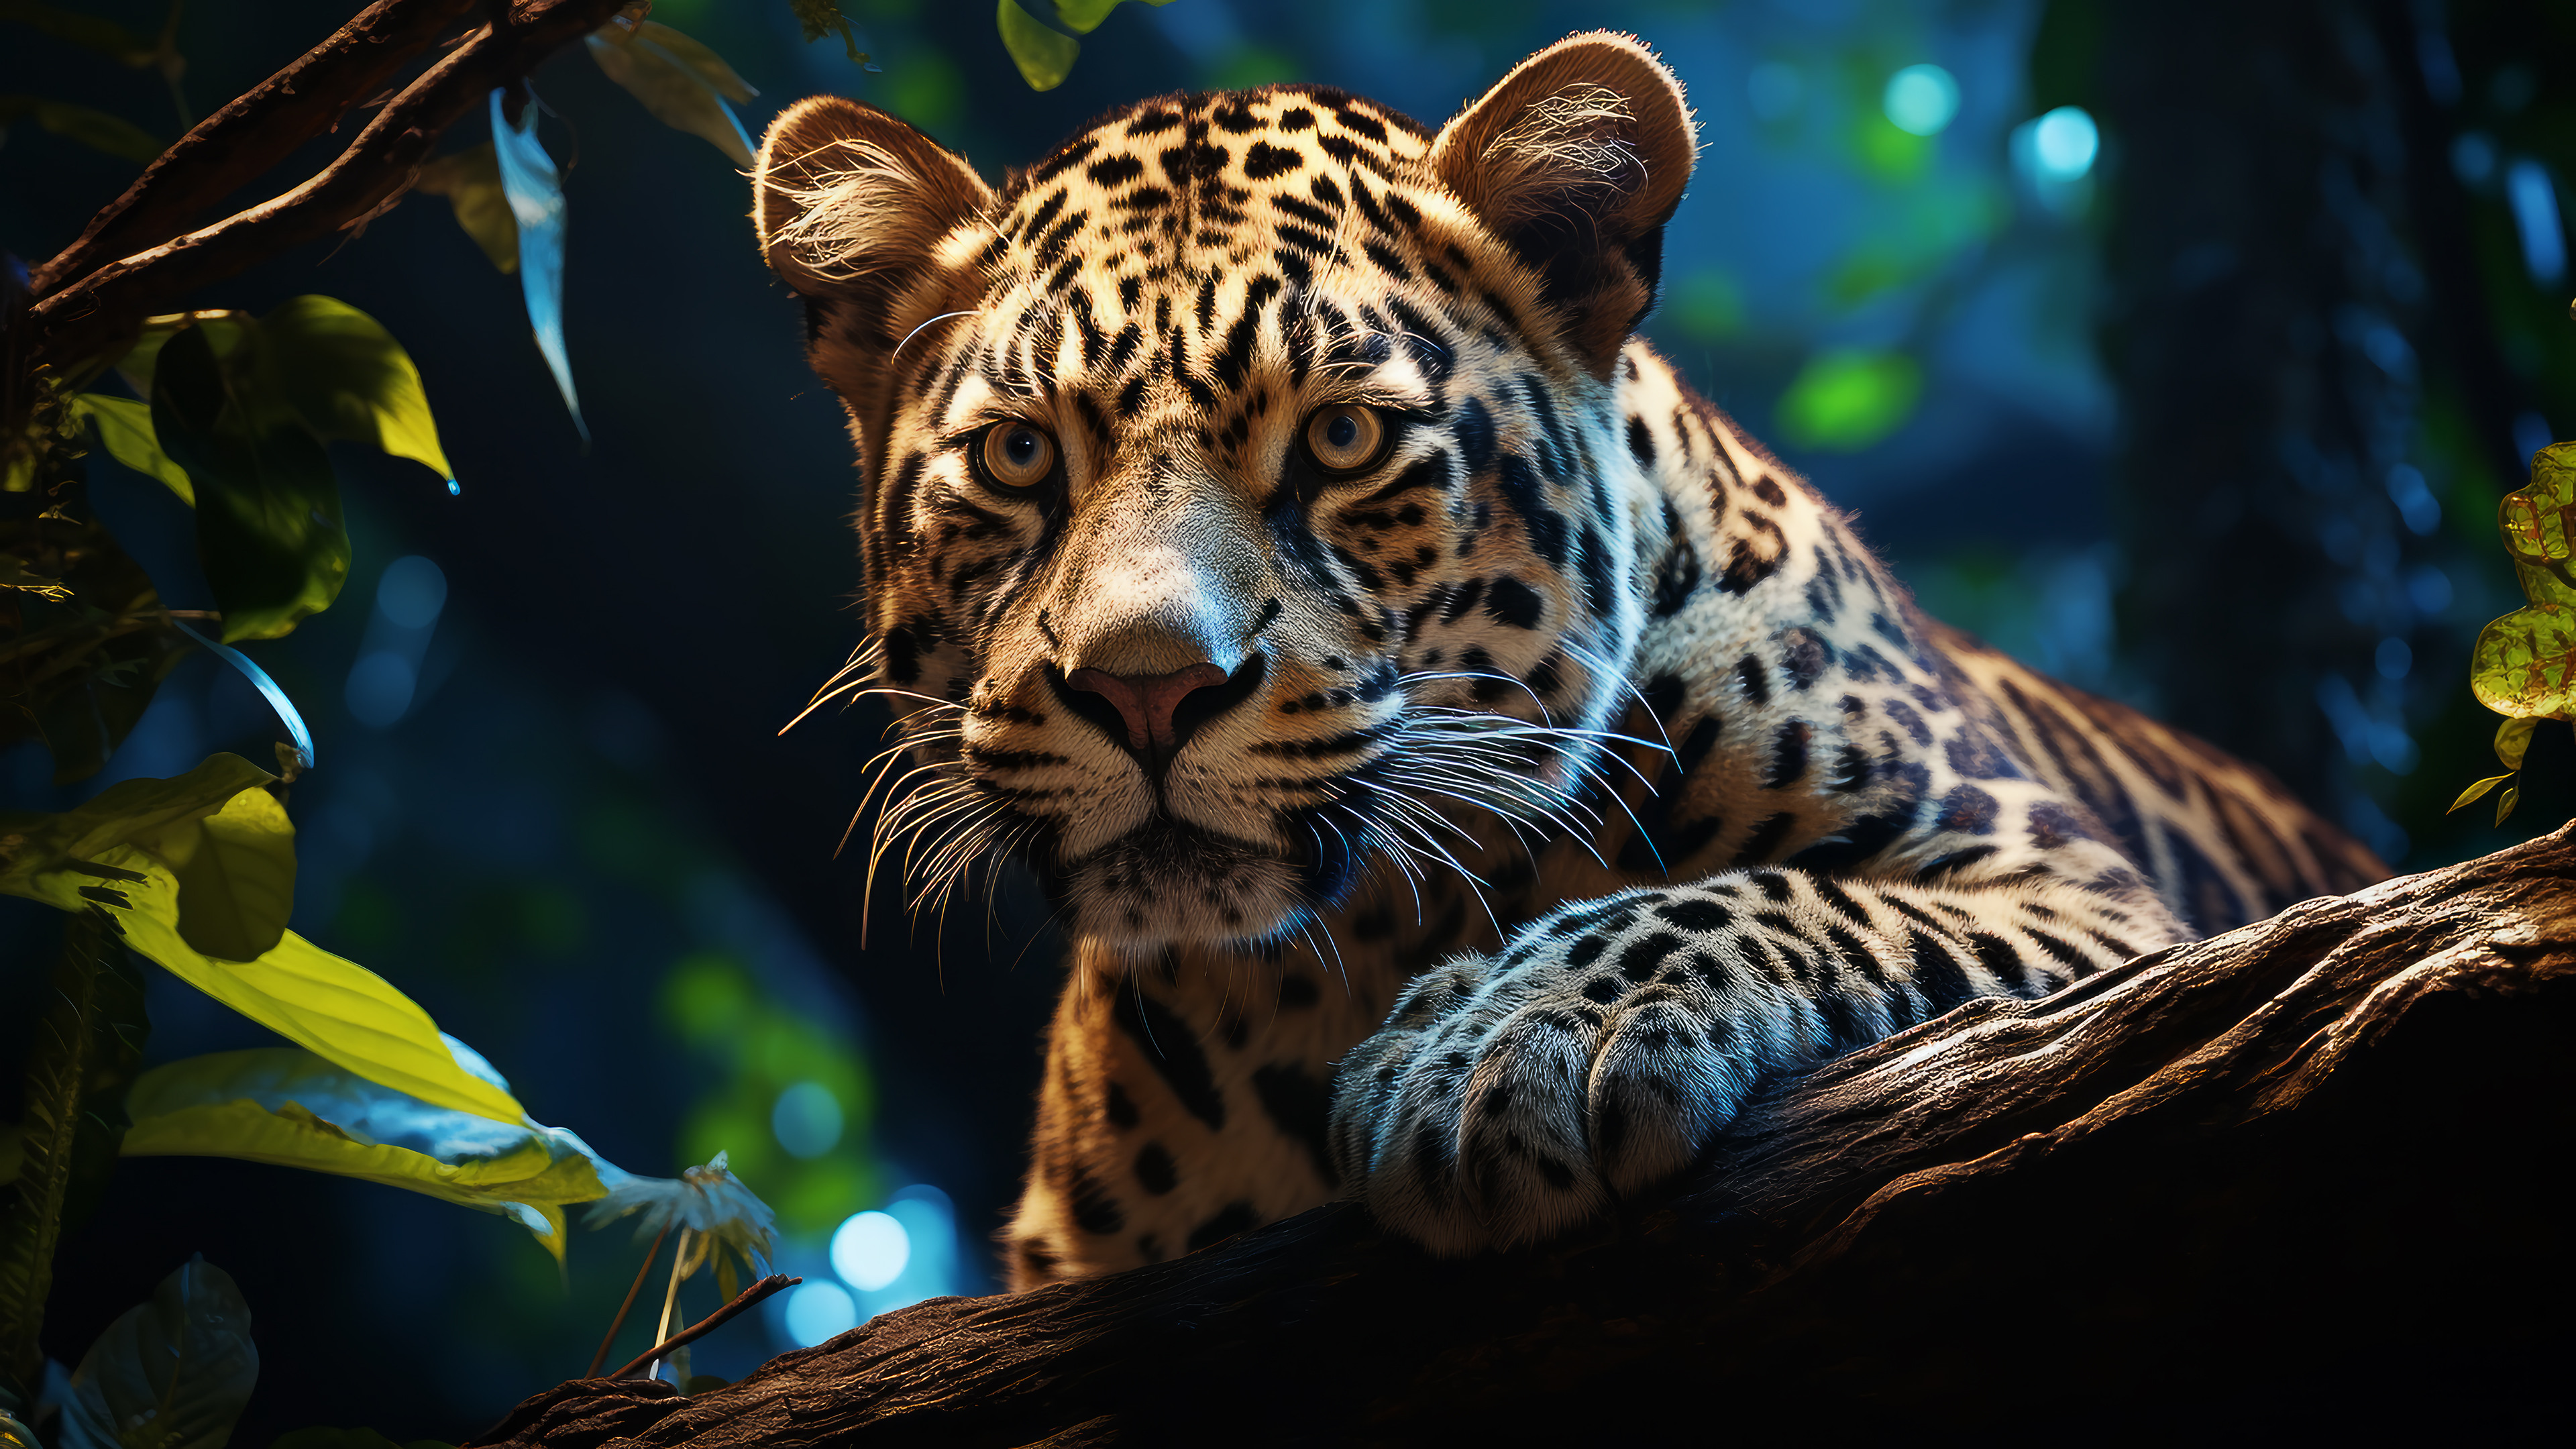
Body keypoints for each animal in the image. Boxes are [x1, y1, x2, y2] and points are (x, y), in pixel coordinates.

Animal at [748, 31, 2386, 1286]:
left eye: (1342, 439)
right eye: (1018, 457)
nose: (1147, 686)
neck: (1331, 969)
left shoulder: (2102, 907)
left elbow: (1779, 894)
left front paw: (1507, 1044)